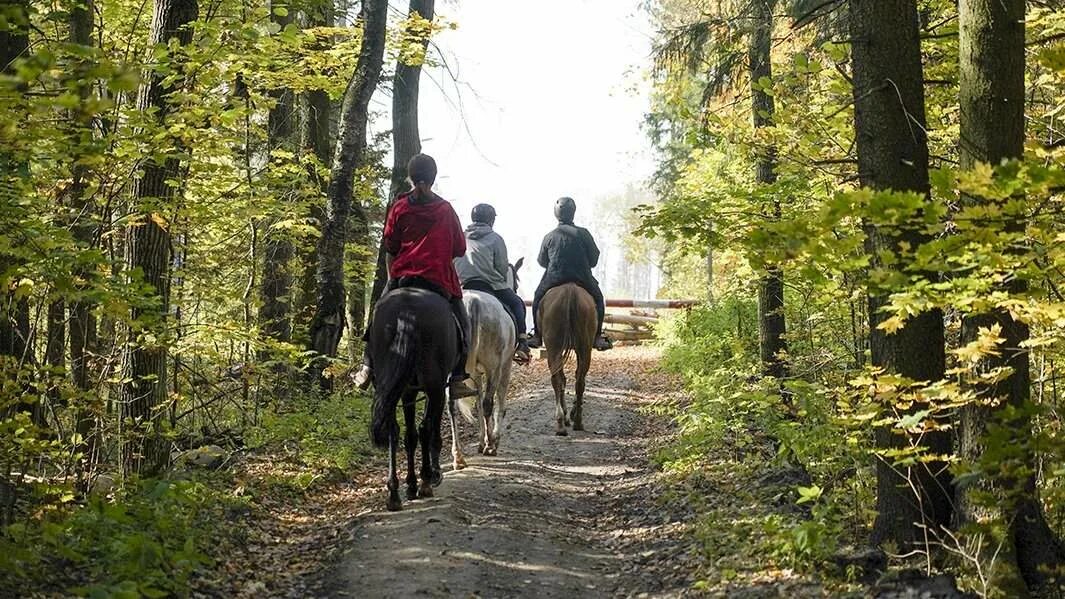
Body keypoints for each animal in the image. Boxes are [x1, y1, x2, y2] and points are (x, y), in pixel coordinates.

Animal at [366, 283, 457, 507]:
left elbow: (410, 435)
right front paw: (431, 475)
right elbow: (428, 430)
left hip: (392, 386)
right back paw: (425, 481)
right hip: (434, 385)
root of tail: (407, 311)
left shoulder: (408, 391)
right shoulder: (436, 390)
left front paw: (410, 484)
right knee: (425, 428)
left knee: (394, 431)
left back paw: (394, 493)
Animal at [536, 281, 596, 430]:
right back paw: (577, 421)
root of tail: (570, 290)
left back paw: (561, 422)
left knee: (558, 379)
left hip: (554, 349)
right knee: (579, 381)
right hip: (584, 349)